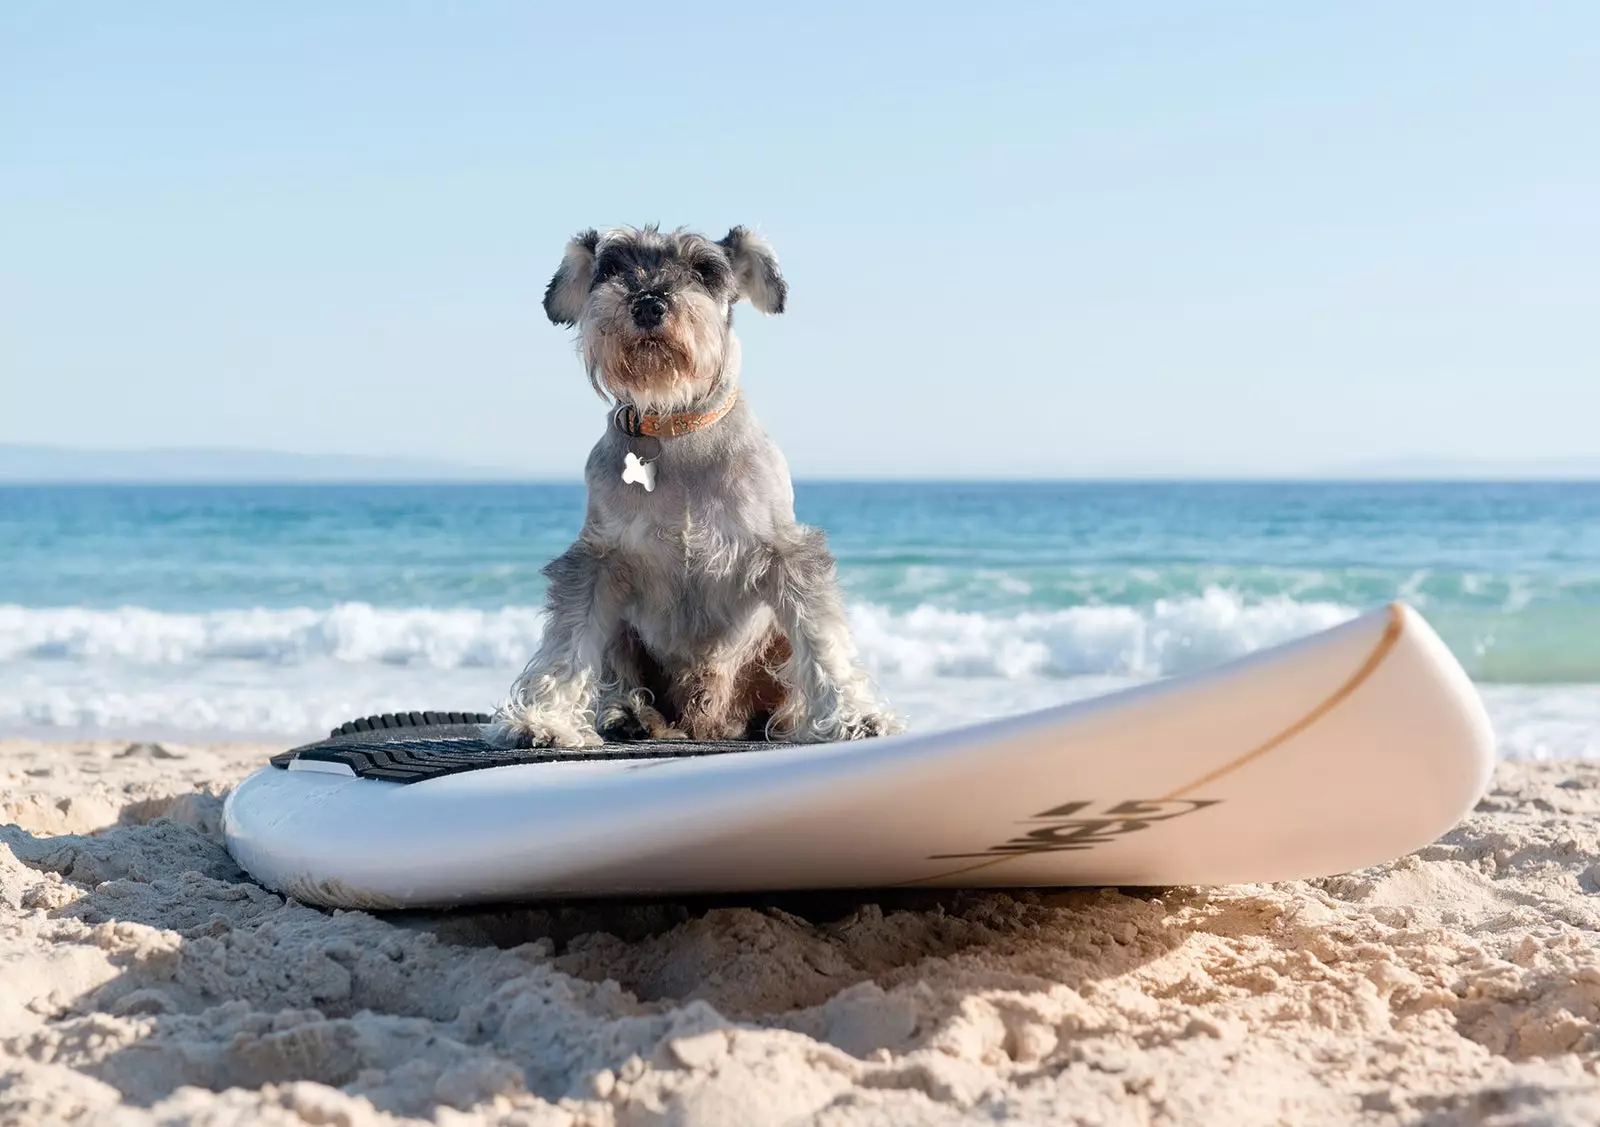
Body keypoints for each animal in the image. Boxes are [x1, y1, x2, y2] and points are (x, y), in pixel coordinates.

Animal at [489, 222, 902, 749]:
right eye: (611, 267)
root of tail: (706, 721)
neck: (676, 428)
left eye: (705, 270)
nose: (648, 304)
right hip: (623, 632)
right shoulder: (596, 563)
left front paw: (856, 715)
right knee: (618, 674)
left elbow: (822, 636)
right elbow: (568, 640)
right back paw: (629, 713)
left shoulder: (786, 554)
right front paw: (543, 719)